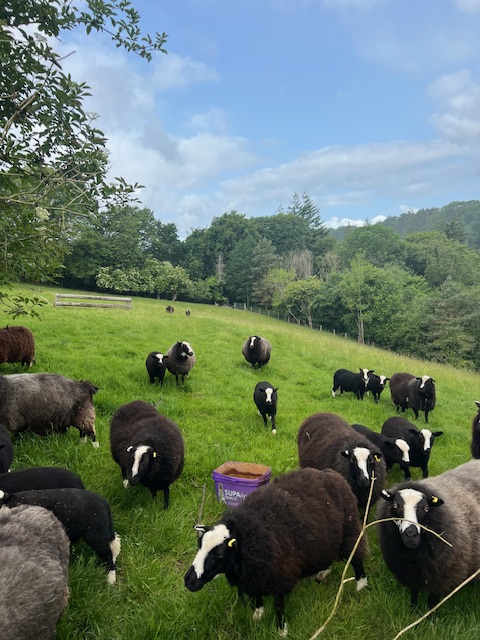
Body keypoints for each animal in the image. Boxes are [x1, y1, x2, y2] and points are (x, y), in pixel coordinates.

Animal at [184, 467, 368, 635]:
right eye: (199, 545)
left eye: (219, 554)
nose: (188, 581)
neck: (245, 535)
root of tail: (330, 473)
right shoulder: (256, 574)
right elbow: (257, 595)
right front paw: (258, 614)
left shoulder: (280, 574)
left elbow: (279, 605)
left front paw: (281, 630)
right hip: (327, 537)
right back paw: (323, 572)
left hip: (350, 530)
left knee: (357, 557)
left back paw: (361, 585)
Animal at [377, 459, 480, 609]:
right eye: (396, 506)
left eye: (425, 509)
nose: (411, 535)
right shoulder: (411, 573)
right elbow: (414, 593)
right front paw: (413, 610)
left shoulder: (441, 578)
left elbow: (432, 601)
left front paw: (431, 614)